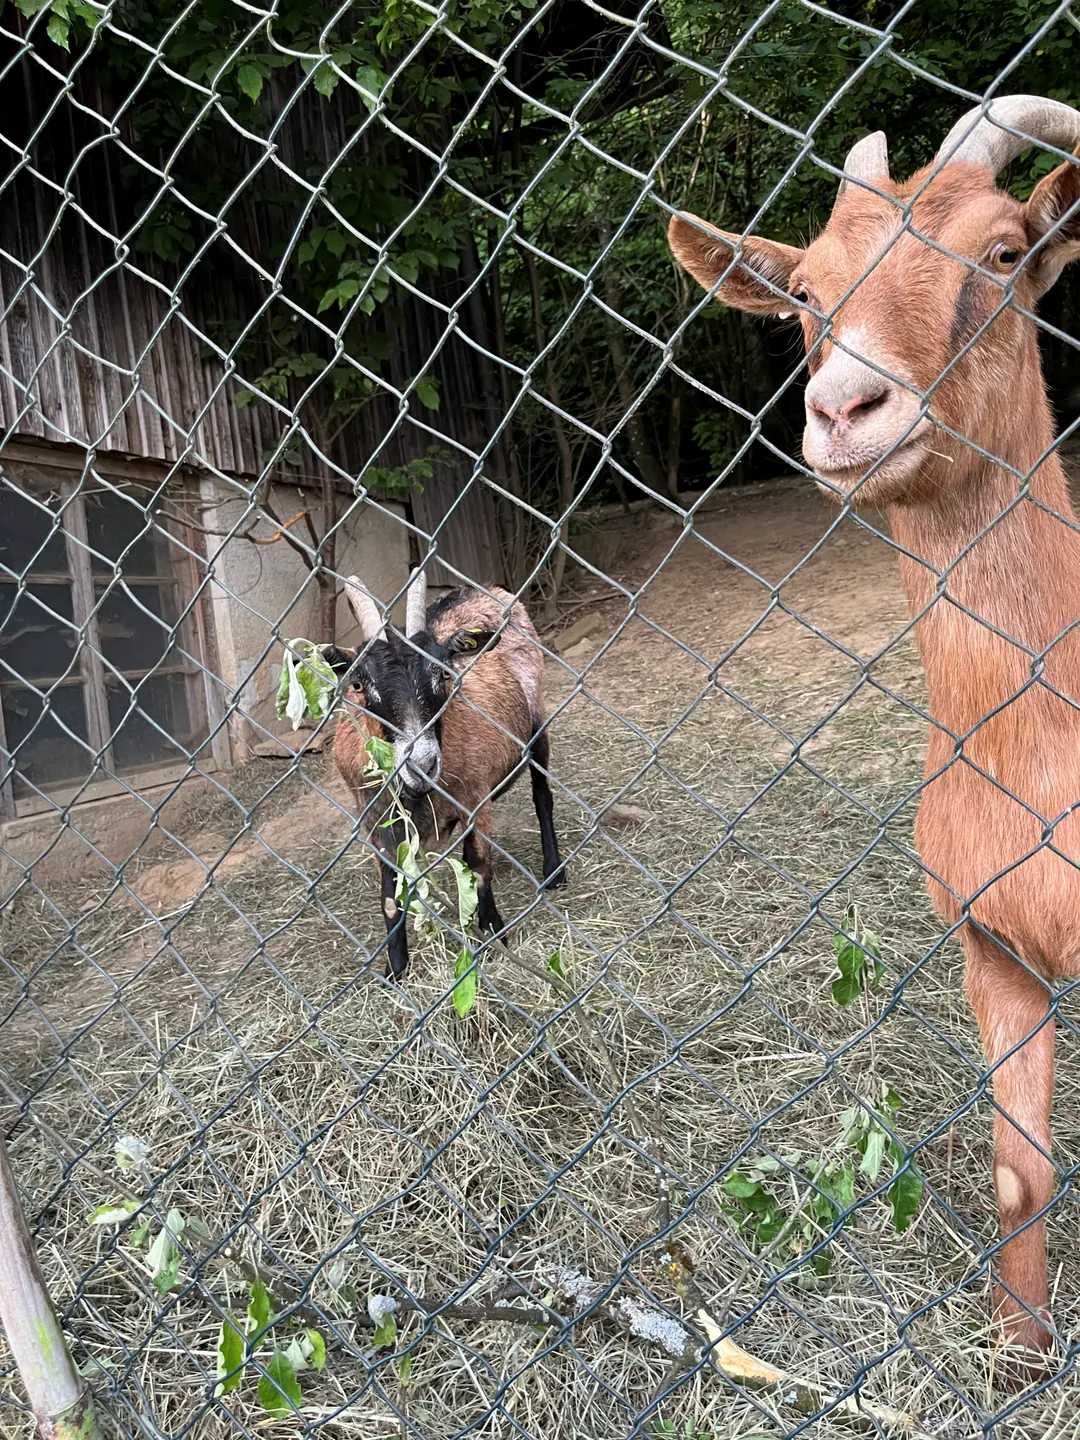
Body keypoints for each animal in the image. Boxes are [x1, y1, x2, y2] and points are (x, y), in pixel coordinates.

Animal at [321, 568, 566, 980]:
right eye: (360, 684)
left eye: (442, 673)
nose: (421, 764)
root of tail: (478, 588)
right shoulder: (375, 822)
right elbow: (389, 897)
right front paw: (396, 968)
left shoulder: (475, 799)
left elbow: (479, 866)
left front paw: (494, 932)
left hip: (537, 722)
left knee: (541, 795)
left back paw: (553, 872)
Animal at [669, 95, 1080, 1376]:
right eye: (806, 289)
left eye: (1003, 252)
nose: (846, 410)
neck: (1034, 745)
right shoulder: (992, 940)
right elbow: (1019, 1172)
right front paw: (1019, 1350)